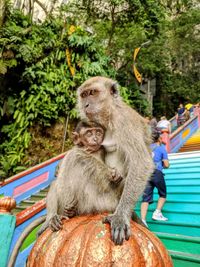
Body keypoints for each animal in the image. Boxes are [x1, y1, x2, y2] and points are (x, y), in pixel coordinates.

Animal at [77, 76, 154, 246]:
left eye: (92, 93)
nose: (86, 105)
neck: (111, 113)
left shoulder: (123, 122)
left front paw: (121, 216)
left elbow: (141, 162)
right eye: (84, 95)